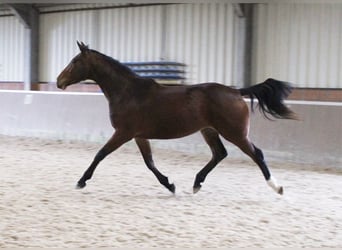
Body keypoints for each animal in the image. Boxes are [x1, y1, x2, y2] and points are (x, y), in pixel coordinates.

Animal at [56, 41, 296, 195]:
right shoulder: (139, 135)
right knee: (219, 153)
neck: (128, 92)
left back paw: (277, 187)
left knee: (256, 154)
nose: (59, 81)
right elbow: (149, 162)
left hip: (234, 133)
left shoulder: (123, 133)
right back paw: (197, 184)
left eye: (75, 61)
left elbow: (100, 154)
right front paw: (169, 185)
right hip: (209, 130)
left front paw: (81, 181)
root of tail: (236, 92)